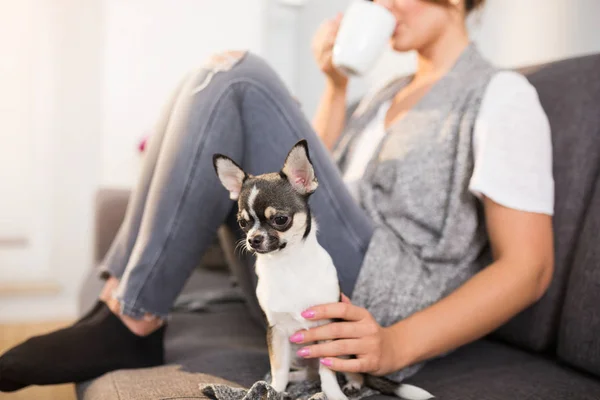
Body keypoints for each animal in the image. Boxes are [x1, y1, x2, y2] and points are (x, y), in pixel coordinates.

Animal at [213, 140, 434, 400]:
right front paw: (274, 390)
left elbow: (328, 370)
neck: (287, 264)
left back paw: (352, 384)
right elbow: (278, 368)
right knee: (306, 372)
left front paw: (334, 394)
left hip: (345, 346)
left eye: (280, 219)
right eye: (243, 223)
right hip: (297, 354)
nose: (253, 239)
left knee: (347, 372)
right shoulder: (276, 332)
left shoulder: (326, 331)